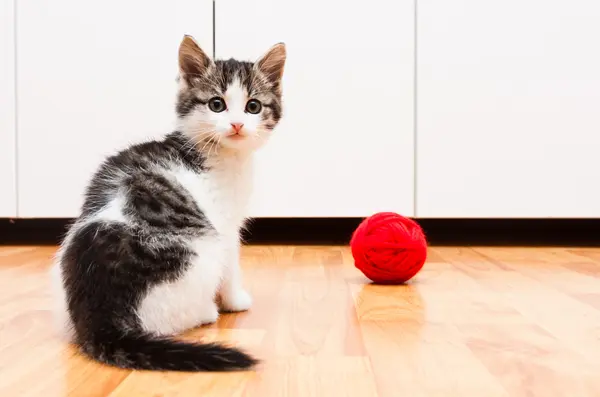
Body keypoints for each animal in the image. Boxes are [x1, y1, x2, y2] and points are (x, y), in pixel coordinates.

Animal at [48, 34, 288, 372]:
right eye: (217, 104)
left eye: (253, 106)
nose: (237, 125)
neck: (219, 156)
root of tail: (100, 314)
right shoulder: (225, 226)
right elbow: (232, 265)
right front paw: (235, 300)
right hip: (200, 256)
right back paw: (207, 311)